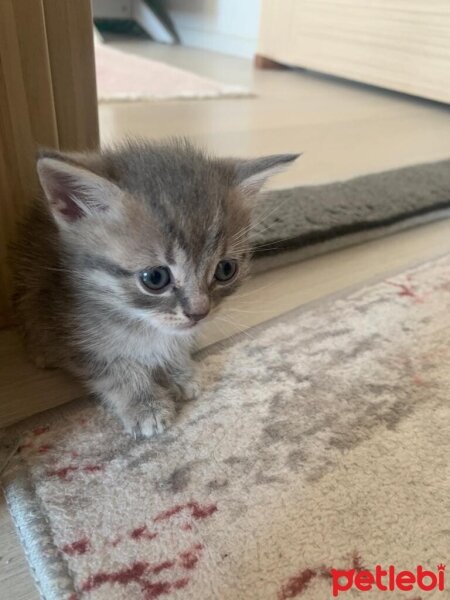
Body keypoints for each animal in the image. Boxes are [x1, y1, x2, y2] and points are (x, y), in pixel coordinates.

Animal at [12, 138, 298, 436]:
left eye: (226, 269)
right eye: (155, 278)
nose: (199, 313)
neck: (139, 322)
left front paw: (178, 371)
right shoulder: (72, 336)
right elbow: (116, 369)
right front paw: (144, 402)